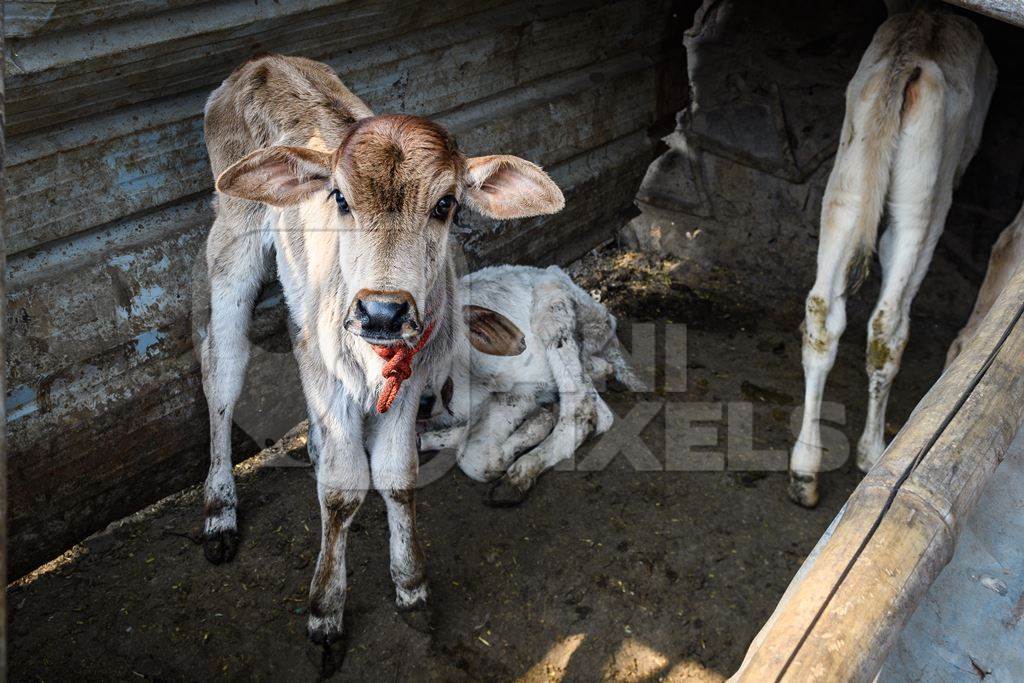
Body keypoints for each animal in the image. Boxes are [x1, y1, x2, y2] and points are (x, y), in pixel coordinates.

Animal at [198, 54, 565, 647]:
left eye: (445, 204)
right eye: (340, 198)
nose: (383, 312)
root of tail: (260, 62)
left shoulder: (410, 382)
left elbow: (396, 476)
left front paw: (411, 587)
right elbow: (343, 490)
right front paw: (325, 609)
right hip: (231, 243)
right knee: (223, 376)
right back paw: (219, 510)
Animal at [415, 264, 638, 505]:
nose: (424, 403)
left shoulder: (517, 393)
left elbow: (472, 459)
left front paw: (534, 428)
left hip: (553, 311)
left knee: (585, 410)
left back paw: (521, 472)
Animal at [786, 9, 995, 507]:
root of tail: (910, 59)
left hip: (846, 185)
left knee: (821, 312)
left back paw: (805, 471)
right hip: (920, 202)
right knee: (887, 323)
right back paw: (873, 451)